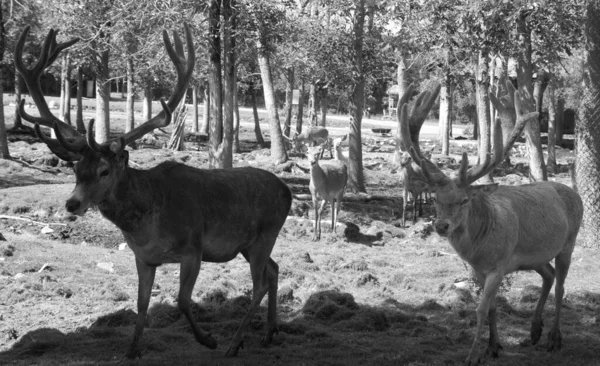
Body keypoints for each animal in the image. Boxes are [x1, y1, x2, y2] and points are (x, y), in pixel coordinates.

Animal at [15, 24, 292, 358]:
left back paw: (234, 343)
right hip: (248, 244)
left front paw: (208, 339)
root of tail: (288, 191)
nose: (72, 204)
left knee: (260, 283)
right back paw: (269, 332)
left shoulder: (193, 248)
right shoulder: (143, 258)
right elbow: (141, 302)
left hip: (266, 234)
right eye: (76, 170)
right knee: (274, 271)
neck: (147, 228)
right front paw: (133, 349)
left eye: (104, 171)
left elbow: (182, 300)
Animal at [398, 81, 580, 364]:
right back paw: (534, 331)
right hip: (535, 256)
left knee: (561, 286)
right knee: (549, 276)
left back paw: (554, 338)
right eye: (436, 198)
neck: (480, 250)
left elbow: (482, 309)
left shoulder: (499, 265)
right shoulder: (480, 270)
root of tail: (575, 193)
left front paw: (472, 356)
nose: (441, 226)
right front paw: (493, 347)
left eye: (464, 200)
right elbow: (492, 307)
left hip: (568, 243)